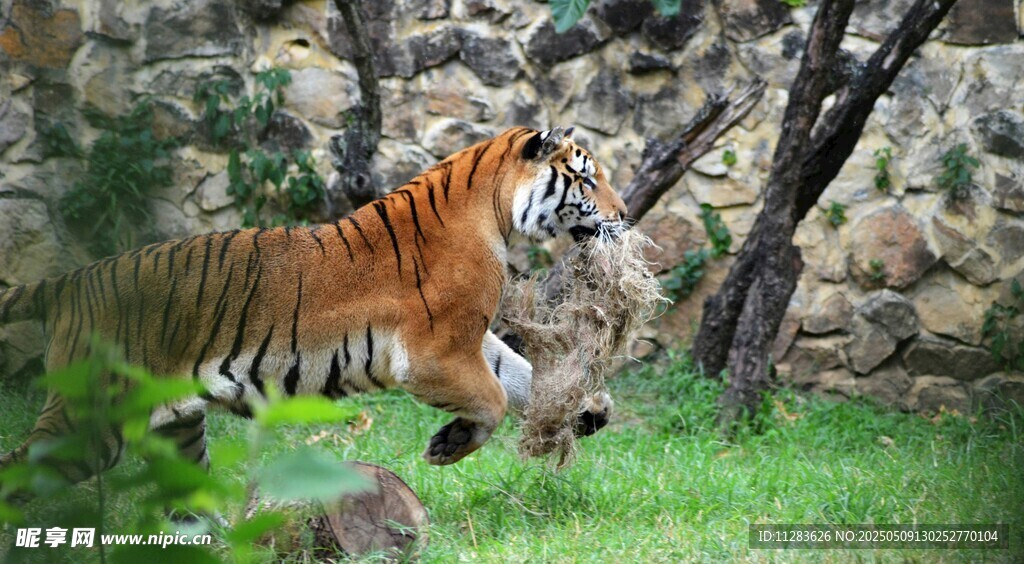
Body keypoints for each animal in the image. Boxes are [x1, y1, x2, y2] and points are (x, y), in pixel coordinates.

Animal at [0, 125, 627, 498]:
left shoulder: (467, 343)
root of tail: (71, 281)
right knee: (22, 469)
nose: (626, 214)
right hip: (89, 418)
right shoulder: (433, 353)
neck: (494, 211)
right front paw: (447, 447)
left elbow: (518, 376)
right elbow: (494, 399)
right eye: (587, 177)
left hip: (176, 428)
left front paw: (588, 406)